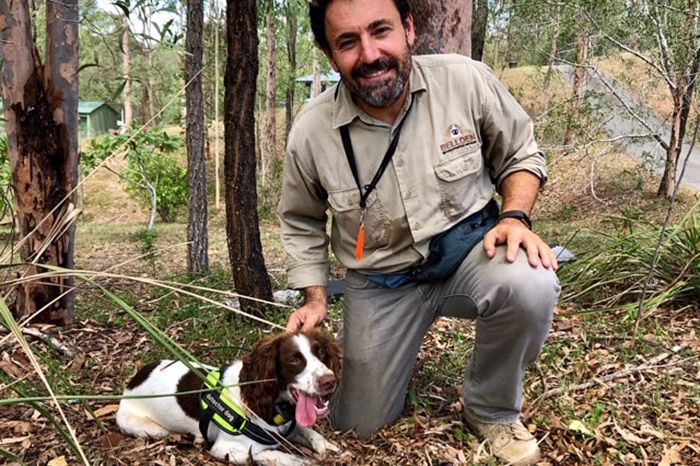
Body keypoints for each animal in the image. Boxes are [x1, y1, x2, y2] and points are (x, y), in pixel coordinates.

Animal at [116, 330, 344, 464]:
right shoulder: (226, 449)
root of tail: (132, 382)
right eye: (294, 360)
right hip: (154, 430)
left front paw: (327, 446)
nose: (330, 381)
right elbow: (273, 455)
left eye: (321, 353)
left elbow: (309, 431)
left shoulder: (284, 428)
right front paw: (301, 460)